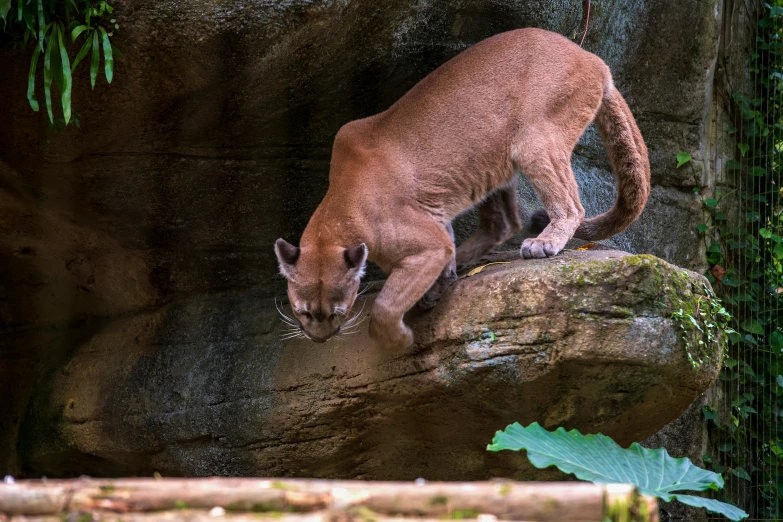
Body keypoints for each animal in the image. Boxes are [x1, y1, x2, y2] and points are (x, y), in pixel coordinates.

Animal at [274, 29, 648, 354]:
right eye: (302, 310)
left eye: (336, 312)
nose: (320, 338)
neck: (340, 205)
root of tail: (591, 57)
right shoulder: (435, 219)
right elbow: (445, 243)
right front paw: (441, 281)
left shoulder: (428, 243)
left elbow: (386, 304)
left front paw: (397, 339)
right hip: (494, 157)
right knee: (504, 222)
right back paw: (468, 259)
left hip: (535, 142)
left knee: (569, 206)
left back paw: (543, 242)